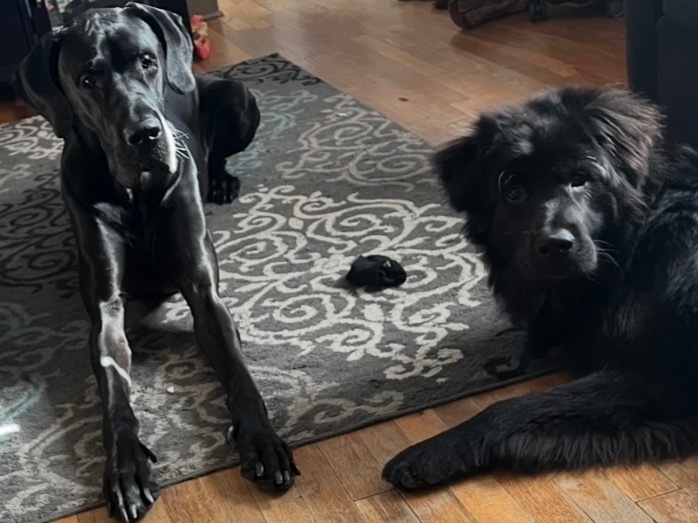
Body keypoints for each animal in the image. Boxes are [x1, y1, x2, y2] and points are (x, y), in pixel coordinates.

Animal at [13, 4, 297, 521]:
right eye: (87, 79)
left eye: (147, 61)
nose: (145, 134)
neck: (135, 192)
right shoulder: (106, 311)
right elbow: (113, 396)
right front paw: (125, 466)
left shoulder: (204, 292)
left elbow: (240, 374)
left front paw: (262, 440)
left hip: (239, 96)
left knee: (219, 150)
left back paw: (221, 181)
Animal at [383, 86, 698, 489]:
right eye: (513, 192)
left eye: (581, 178)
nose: (556, 245)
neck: (637, 240)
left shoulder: (653, 377)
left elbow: (511, 407)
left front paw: (430, 454)